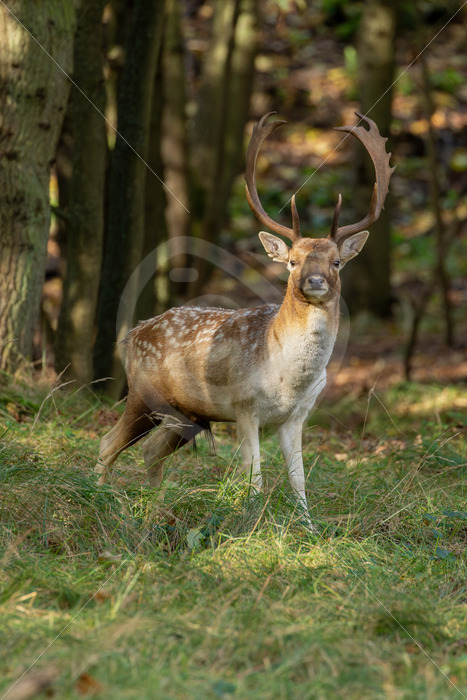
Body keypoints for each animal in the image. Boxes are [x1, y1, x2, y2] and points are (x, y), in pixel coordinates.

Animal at [95, 112, 394, 530]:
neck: (287, 377)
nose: (315, 281)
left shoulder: (297, 417)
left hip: (186, 415)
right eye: (292, 261)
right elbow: (254, 477)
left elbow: (298, 479)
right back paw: (98, 501)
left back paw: (155, 513)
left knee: (150, 452)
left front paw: (310, 529)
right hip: (143, 394)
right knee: (108, 444)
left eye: (336, 262)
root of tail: (132, 333)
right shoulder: (243, 406)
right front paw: (250, 525)